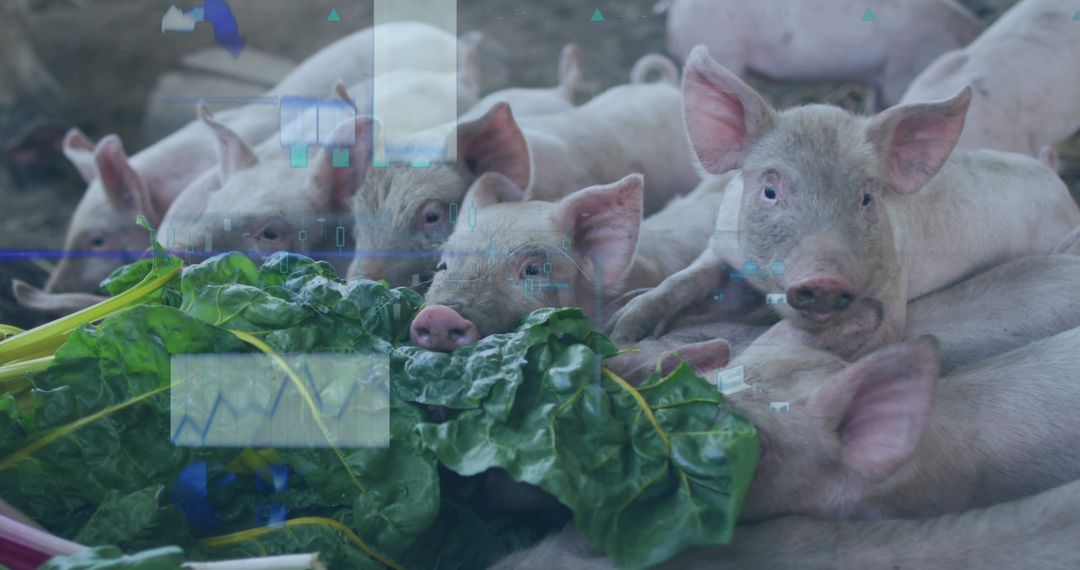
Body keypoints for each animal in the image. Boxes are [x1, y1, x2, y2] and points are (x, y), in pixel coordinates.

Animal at [608, 46, 1080, 360]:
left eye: (866, 198)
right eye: (771, 191)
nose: (825, 278)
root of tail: (1055, 179)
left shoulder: (893, 287)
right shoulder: (722, 247)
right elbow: (683, 281)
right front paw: (622, 328)